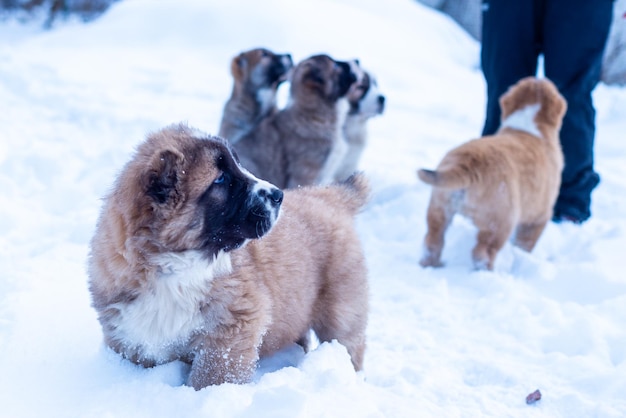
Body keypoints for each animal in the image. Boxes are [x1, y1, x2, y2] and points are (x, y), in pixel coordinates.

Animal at [89, 123, 370, 388]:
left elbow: (211, 376)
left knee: (348, 343)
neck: (172, 266)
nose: (278, 195)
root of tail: (330, 195)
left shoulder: (233, 327)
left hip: (342, 311)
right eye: (221, 179)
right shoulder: (129, 333)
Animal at [414, 76, 564, 270]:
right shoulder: (538, 217)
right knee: (482, 252)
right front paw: (522, 255)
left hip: (439, 207)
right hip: (500, 221)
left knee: (433, 240)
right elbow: (525, 243)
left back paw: (432, 265)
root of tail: (468, 164)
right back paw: (487, 272)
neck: (528, 124)